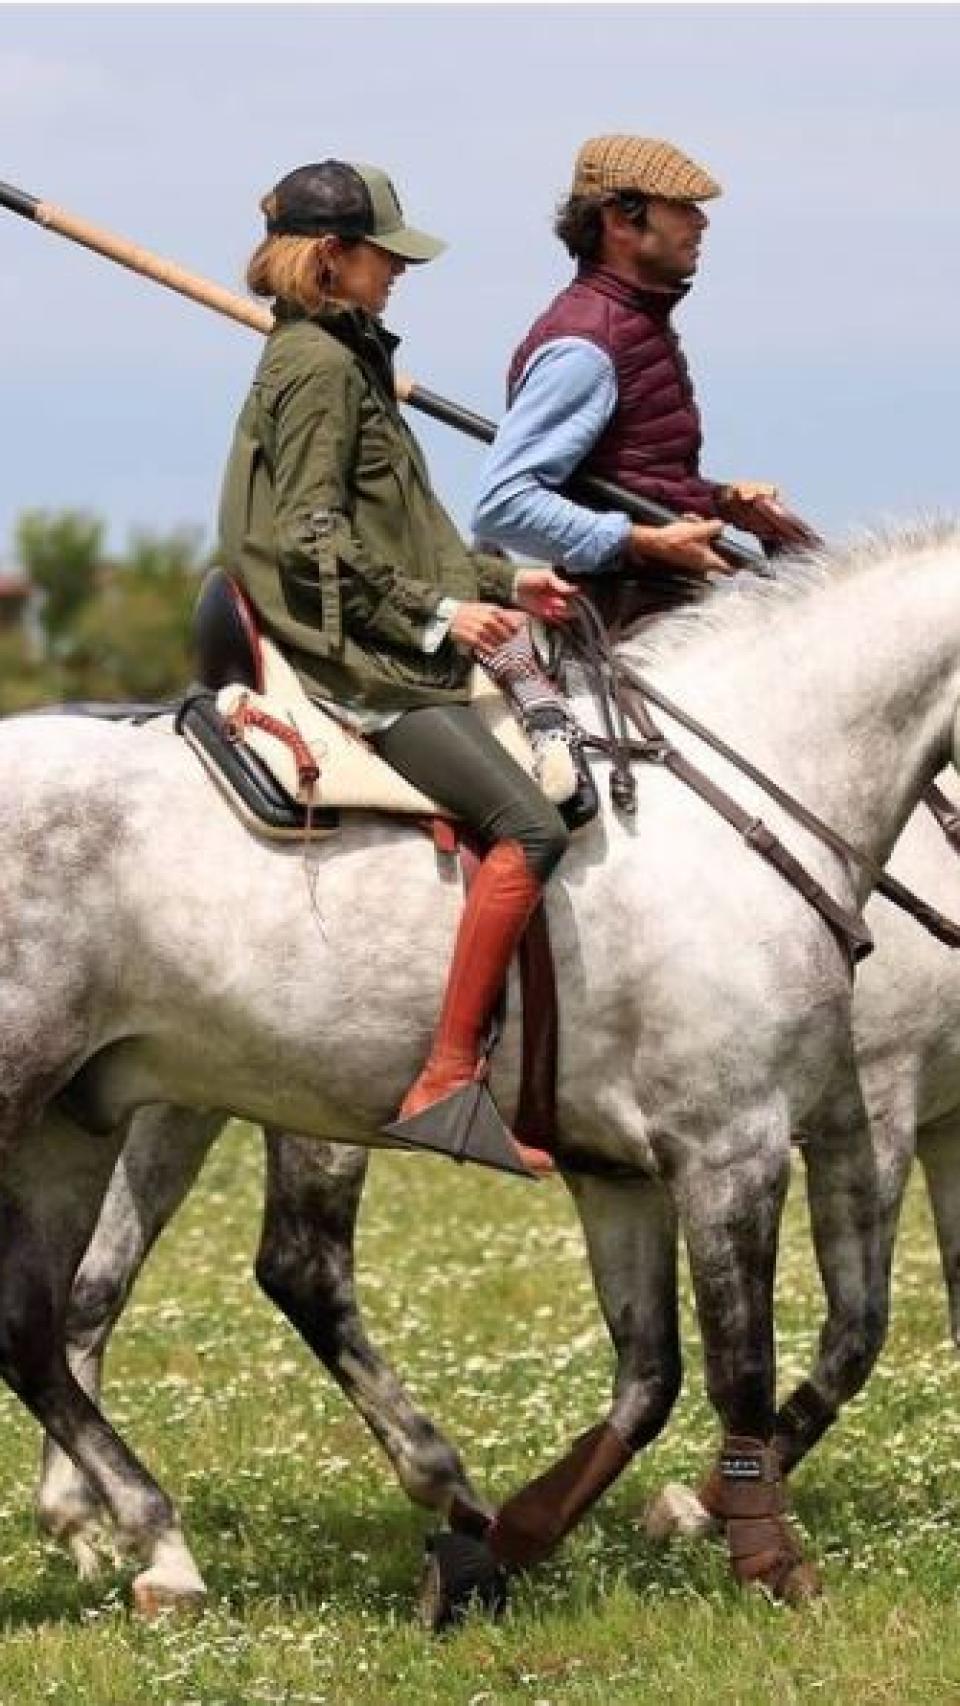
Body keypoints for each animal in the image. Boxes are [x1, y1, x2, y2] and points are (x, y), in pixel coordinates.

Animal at [5, 522, 960, 1620]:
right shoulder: (742, 1142)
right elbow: (749, 1365)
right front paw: (761, 1552)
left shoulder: (625, 1173)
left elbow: (652, 1378)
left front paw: (501, 1547)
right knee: (279, 1271)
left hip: (84, 1119)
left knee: (38, 1323)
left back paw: (154, 1535)